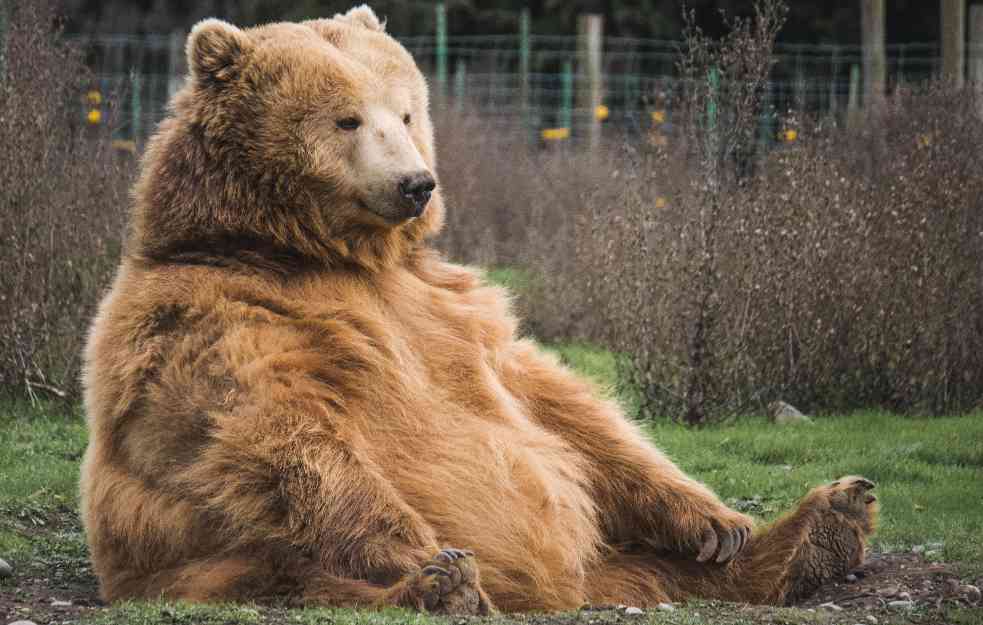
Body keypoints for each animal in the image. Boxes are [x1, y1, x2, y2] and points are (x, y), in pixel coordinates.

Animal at [80, 3, 880, 608]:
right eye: (346, 119)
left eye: (406, 111)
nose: (415, 183)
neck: (326, 253)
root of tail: (568, 588)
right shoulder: (217, 315)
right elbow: (275, 431)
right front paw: (421, 555)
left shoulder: (449, 307)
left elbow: (559, 404)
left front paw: (715, 520)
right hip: (209, 559)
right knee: (297, 573)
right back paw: (440, 586)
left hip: (613, 553)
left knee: (662, 561)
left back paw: (821, 525)